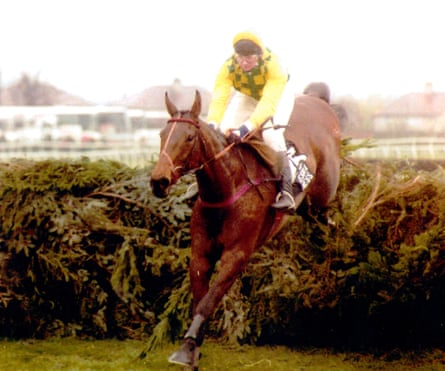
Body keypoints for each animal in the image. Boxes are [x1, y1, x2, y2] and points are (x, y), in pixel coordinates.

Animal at [149, 89, 340, 370]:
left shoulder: (236, 255)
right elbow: (200, 298)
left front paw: (187, 348)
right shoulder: (201, 254)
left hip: (322, 199)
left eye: (189, 137)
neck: (226, 190)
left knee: (332, 220)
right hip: (309, 211)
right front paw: (192, 349)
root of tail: (321, 105)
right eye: (162, 135)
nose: (158, 181)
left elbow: (209, 300)